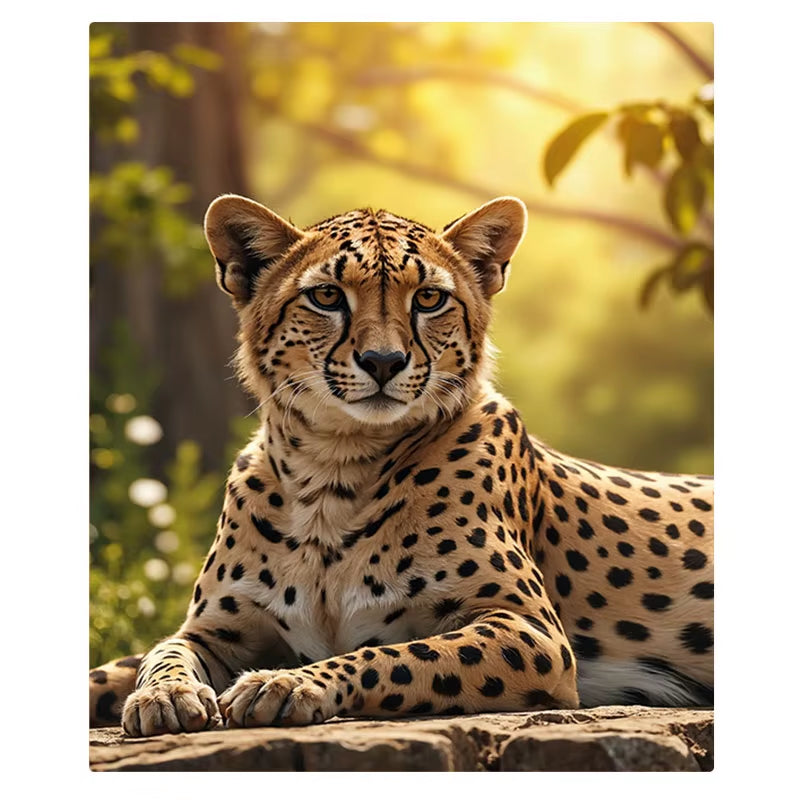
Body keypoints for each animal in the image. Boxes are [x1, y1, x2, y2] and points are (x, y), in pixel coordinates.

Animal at [89, 194, 713, 736]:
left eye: (430, 299)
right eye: (327, 296)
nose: (384, 361)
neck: (332, 470)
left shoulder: (529, 630)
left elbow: (395, 656)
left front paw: (286, 683)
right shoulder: (215, 628)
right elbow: (155, 654)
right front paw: (165, 695)